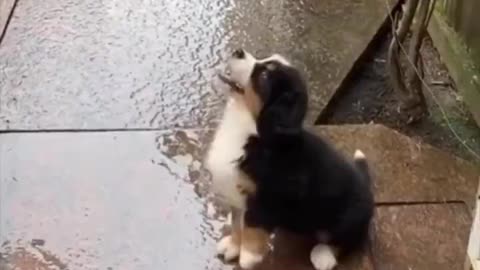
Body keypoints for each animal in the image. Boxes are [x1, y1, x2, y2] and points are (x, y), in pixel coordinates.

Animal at [204, 49, 374, 270]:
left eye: (264, 76)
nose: (238, 51)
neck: (250, 128)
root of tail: (367, 187)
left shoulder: (265, 201)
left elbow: (250, 233)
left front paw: (247, 259)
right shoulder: (238, 193)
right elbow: (237, 223)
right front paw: (232, 245)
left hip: (347, 217)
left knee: (348, 239)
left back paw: (324, 255)